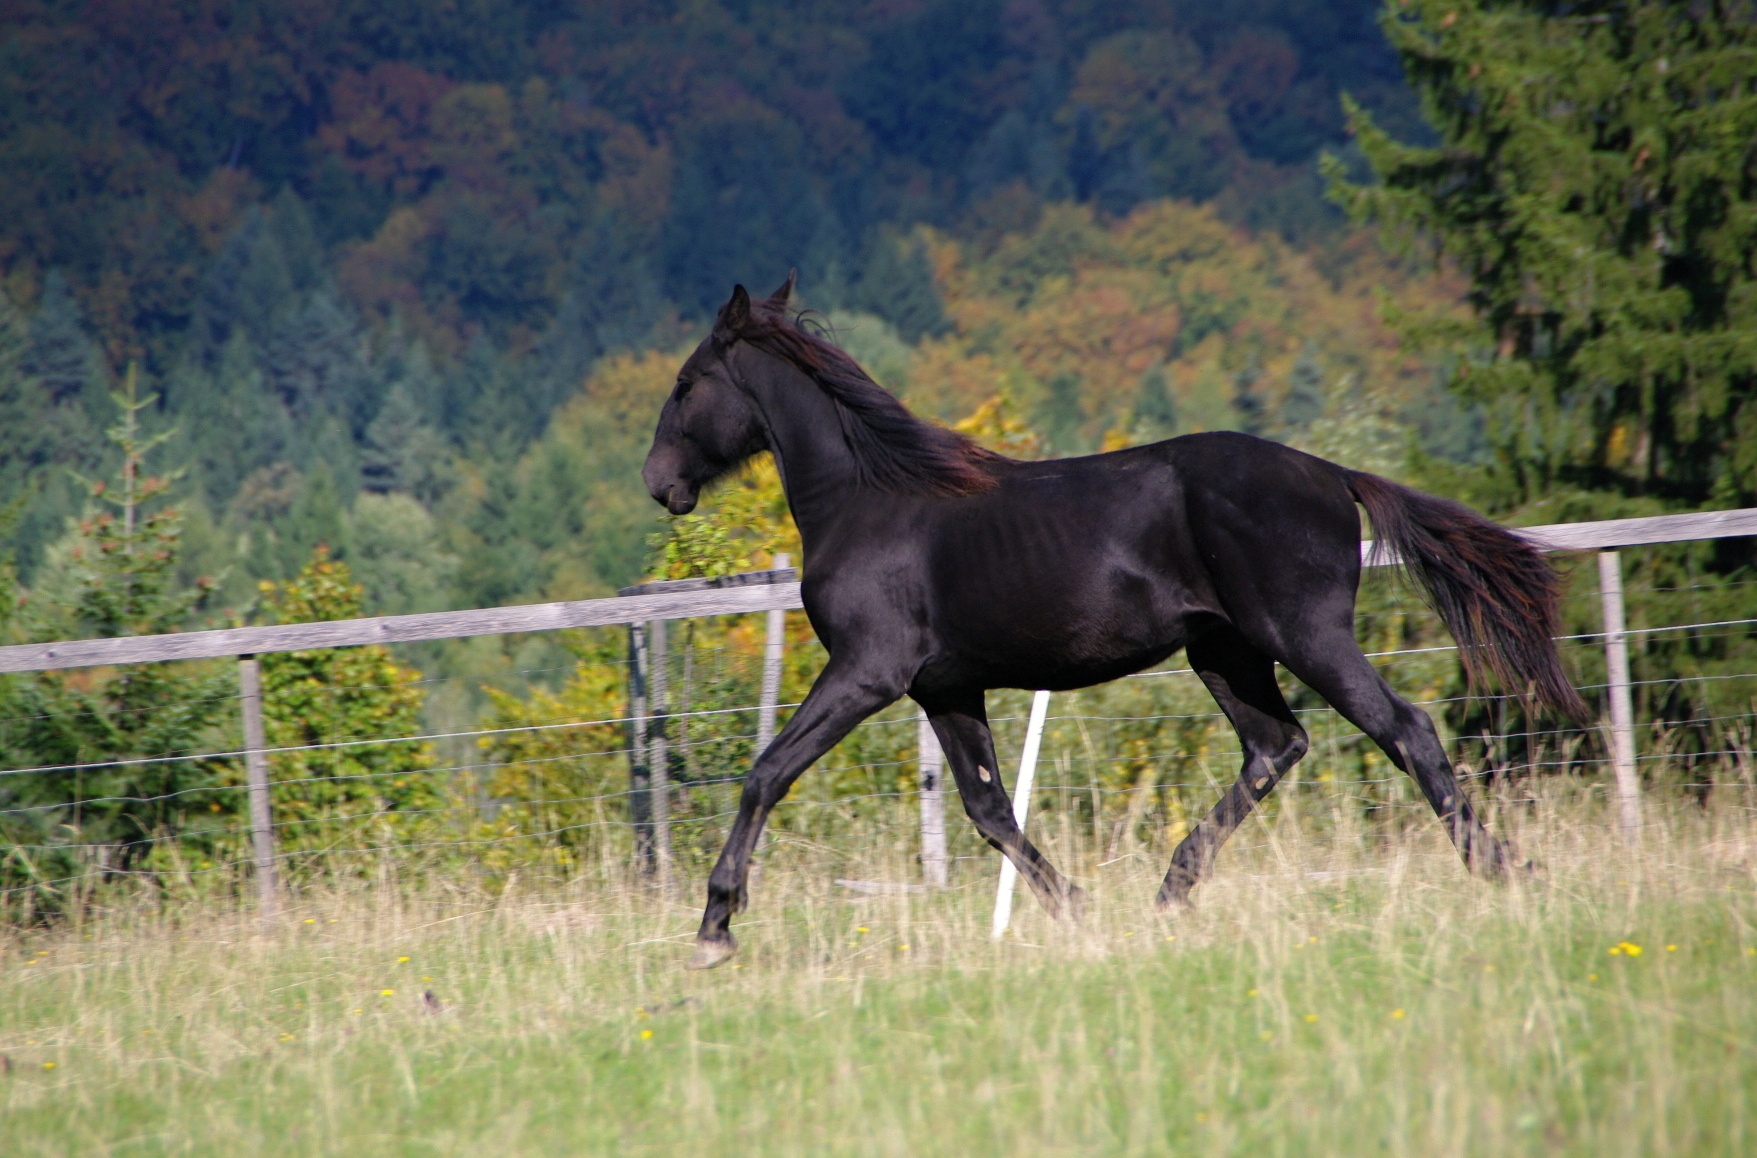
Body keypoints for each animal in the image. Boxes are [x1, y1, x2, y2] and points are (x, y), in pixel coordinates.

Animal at [646, 281, 1595, 969]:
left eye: (689, 384)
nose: (659, 483)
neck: (870, 499)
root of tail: (1330, 472)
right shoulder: (944, 687)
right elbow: (988, 809)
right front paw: (1076, 909)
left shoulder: (867, 672)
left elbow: (766, 772)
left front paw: (714, 928)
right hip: (1224, 651)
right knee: (1274, 747)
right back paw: (1169, 891)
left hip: (1304, 636)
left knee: (1403, 728)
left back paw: (1503, 868)